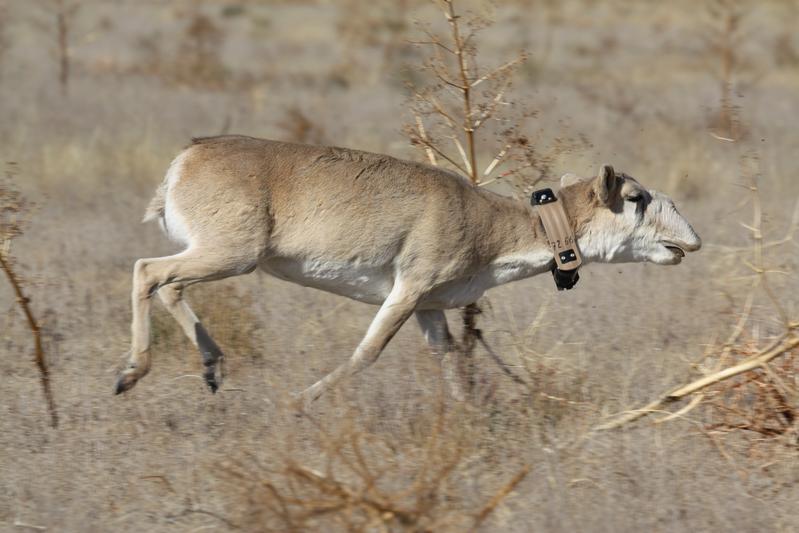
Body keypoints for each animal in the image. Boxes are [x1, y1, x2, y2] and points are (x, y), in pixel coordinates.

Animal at [115, 135, 704, 406]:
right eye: (636, 197)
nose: (691, 240)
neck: (489, 221)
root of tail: (185, 158)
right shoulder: (407, 290)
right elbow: (366, 353)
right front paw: (300, 403)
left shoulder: (429, 308)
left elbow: (450, 362)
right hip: (233, 254)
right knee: (147, 271)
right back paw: (130, 373)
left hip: (218, 255)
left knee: (168, 284)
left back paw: (212, 366)